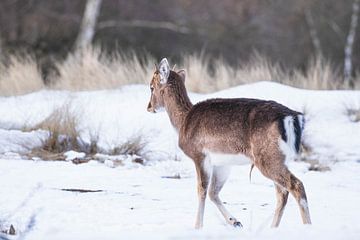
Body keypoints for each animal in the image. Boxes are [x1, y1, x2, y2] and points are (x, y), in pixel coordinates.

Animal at [148, 57, 310, 229]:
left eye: (151, 87)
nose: (149, 107)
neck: (182, 122)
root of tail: (293, 117)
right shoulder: (222, 163)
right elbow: (213, 192)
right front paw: (235, 221)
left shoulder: (199, 154)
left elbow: (201, 189)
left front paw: (198, 226)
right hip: (278, 157)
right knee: (282, 193)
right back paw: (272, 228)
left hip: (267, 157)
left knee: (296, 185)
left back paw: (307, 226)